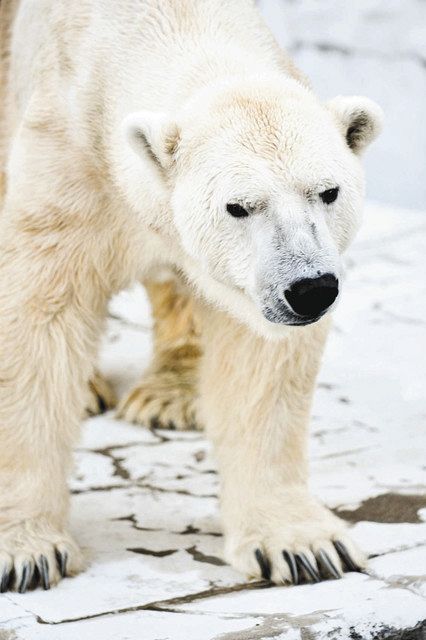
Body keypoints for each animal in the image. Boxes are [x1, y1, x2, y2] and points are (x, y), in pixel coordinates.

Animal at [0, 0, 380, 592]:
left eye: (328, 191)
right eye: (238, 206)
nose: (311, 289)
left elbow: (259, 357)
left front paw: (304, 546)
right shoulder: (66, 157)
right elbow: (38, 320)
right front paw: (27, 552)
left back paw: (170, 396)